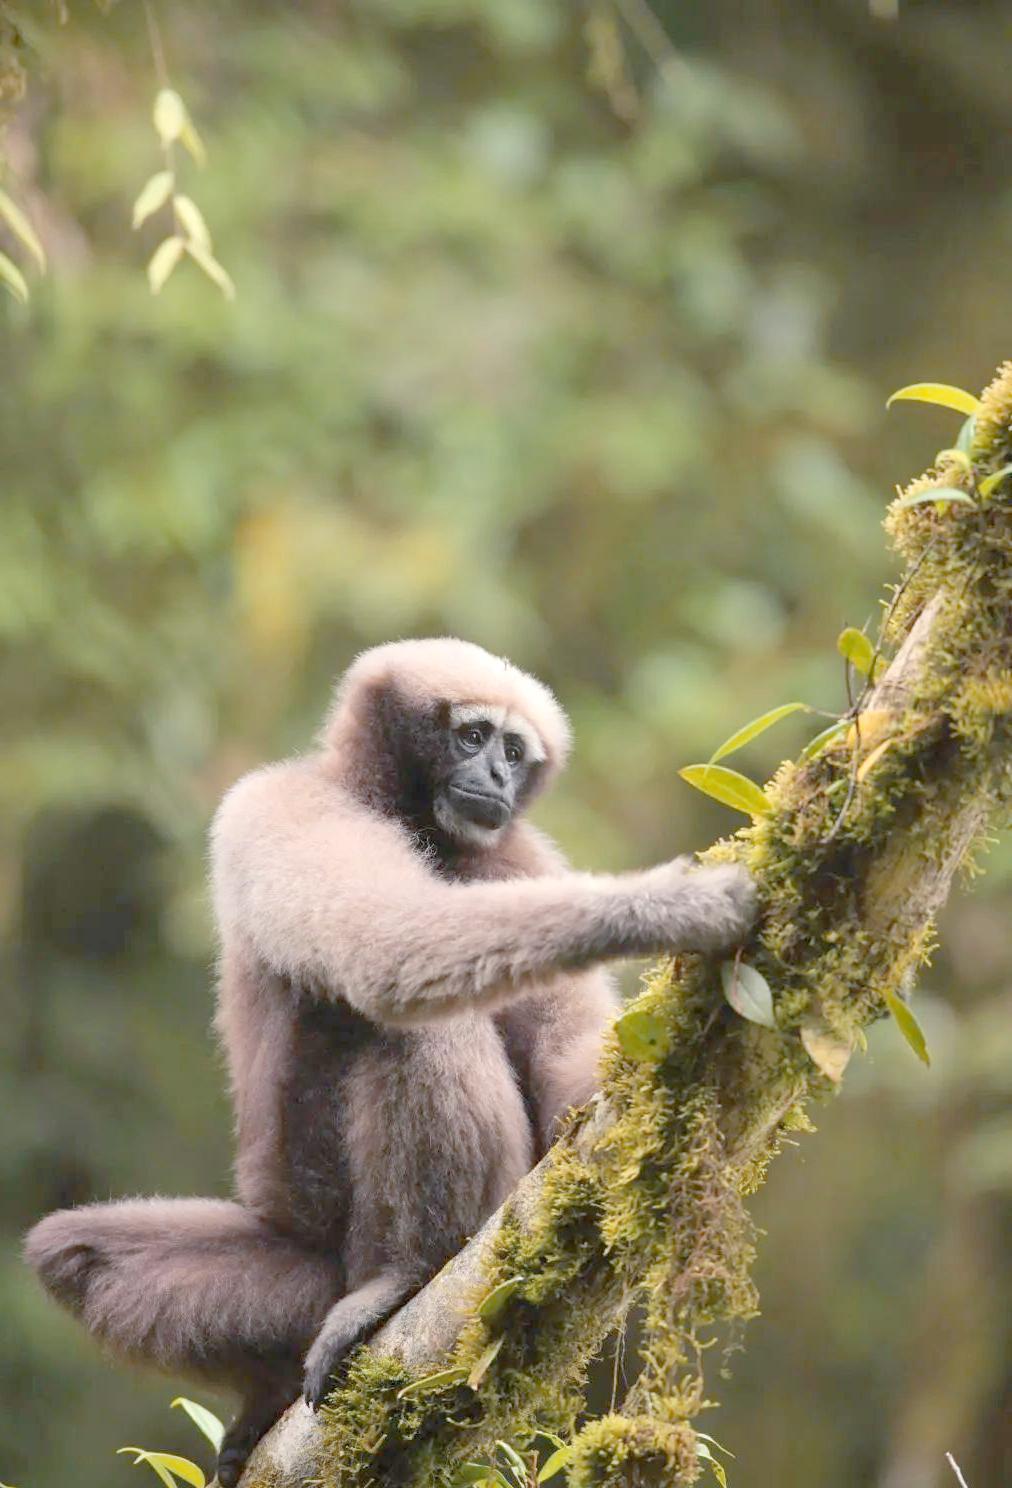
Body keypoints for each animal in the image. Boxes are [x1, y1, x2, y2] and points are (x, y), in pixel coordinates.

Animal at [25, 637, 757, 1486]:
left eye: (515, 751)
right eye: (474, 736)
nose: (498, 776)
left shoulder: (518, 858)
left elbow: (557, 1067)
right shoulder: (284, 804)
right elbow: (382, 947)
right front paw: (660, 907)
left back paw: (405, 1273)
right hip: (299, 1278)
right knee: (73, 1254)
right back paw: (300, 1365)